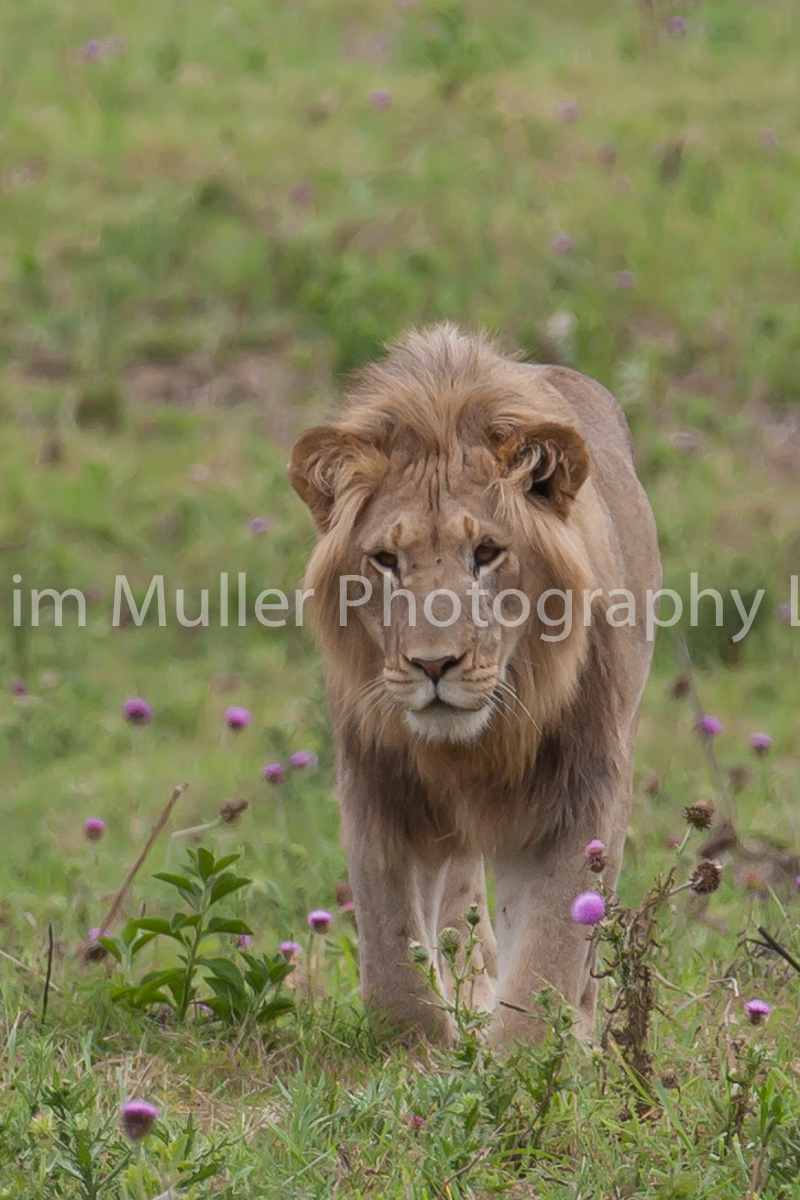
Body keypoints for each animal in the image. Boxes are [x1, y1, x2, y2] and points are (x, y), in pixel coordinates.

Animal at [291, 324, 662, 1046]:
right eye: (386, 560)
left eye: (486, 553)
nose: (434, 665)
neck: (472, 746)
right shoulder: (378, 781)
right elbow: (391, 952)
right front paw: (417, 1052)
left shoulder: (582, 787)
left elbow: (551, 948)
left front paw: (524, 1061)